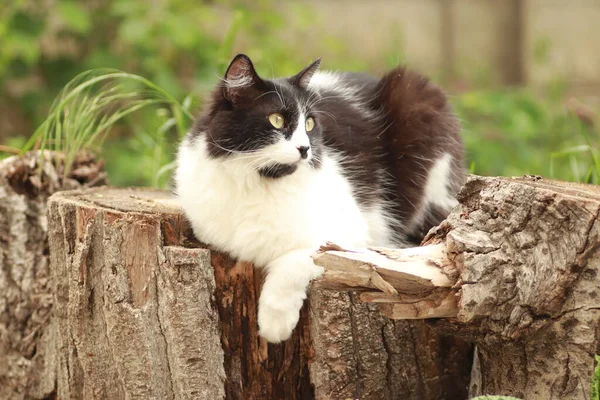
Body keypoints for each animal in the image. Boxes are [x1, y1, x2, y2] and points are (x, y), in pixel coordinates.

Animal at [173, 54, 464, 344]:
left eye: (309, 124)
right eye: (276, 120)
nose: (305, 148)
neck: (259, 183)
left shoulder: (350, 235)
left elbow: (299, 258)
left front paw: (274, 324)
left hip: (418, 98)